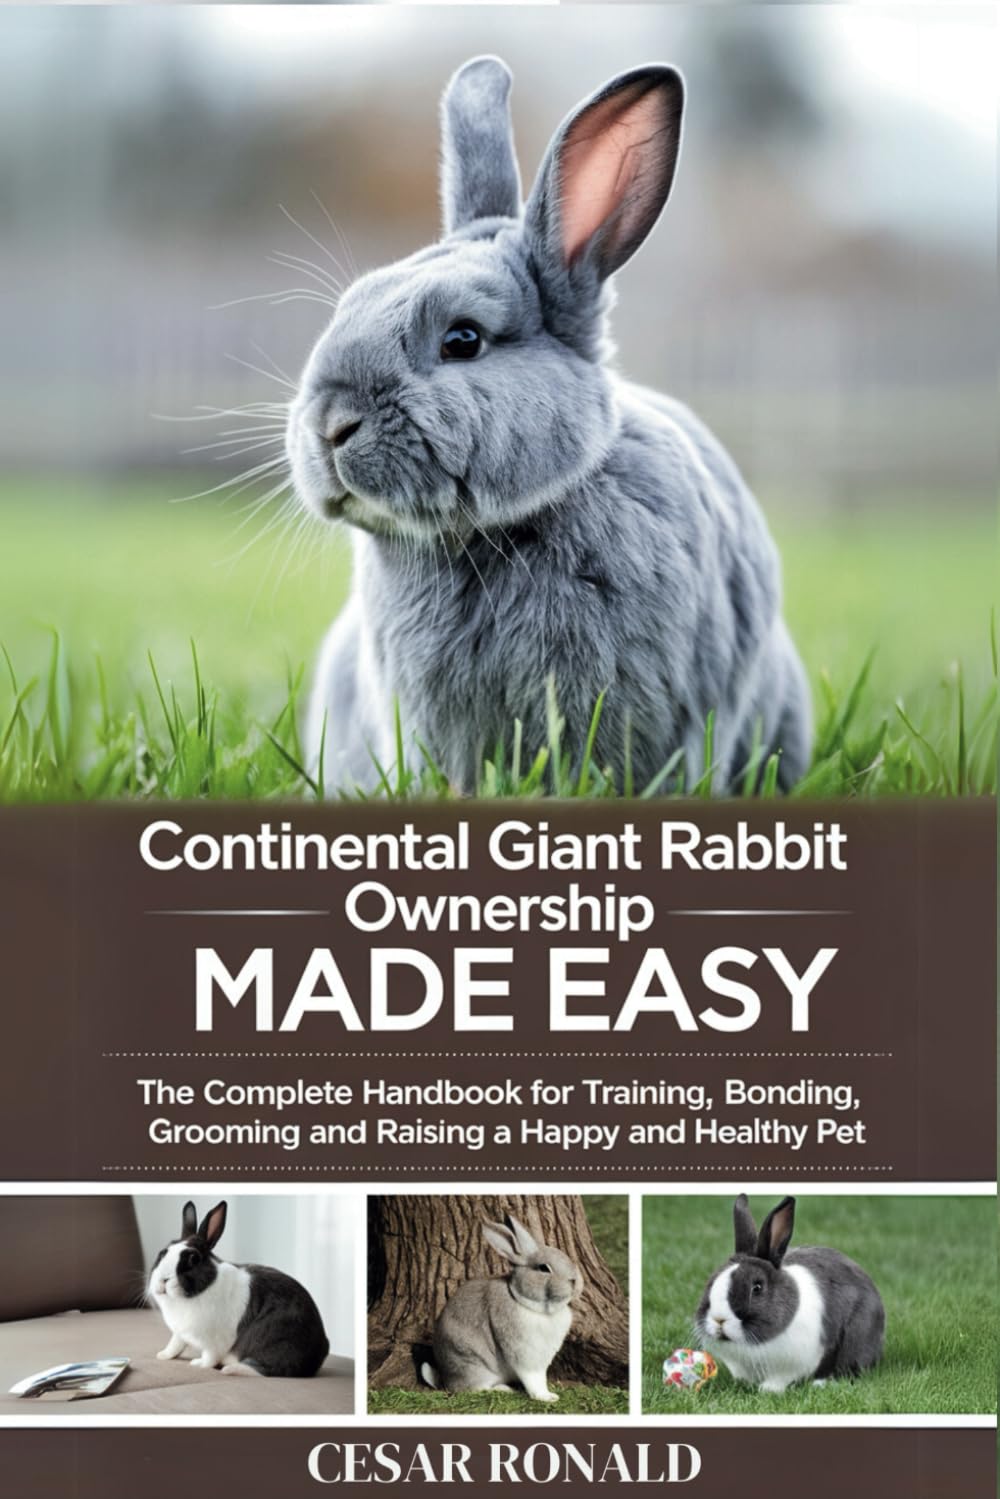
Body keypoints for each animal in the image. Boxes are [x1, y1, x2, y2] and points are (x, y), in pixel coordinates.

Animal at [147, 1200, 329, 1378]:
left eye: (193, 1259)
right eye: (163, 1253)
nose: (162, 1280)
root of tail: (321, 1350)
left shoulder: (213, 1342)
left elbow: (209, 1358)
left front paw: (198, 1364)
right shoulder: (180, 1334)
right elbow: (175, 1345)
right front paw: (162, 1355)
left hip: (277, 1343)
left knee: (269, 1370)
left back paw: (231, 1369)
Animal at [419, 1213, 581, 1402]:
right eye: (543, 1268)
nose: (575, 1281)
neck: (529, 1304)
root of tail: (445, 1380)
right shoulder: (525, 1355)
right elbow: (535, 1379)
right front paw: (547, 1397)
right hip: (474, 1367)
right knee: (472, 1388)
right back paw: (503, 1389)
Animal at [694, 1194, 885, 1393]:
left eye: (757, 1288)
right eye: (711, 1280)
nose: (719, 1319)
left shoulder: (794, 1364)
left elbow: (780, 1378)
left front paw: (768, 1390)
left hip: (857, 1339)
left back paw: (821, 1383)